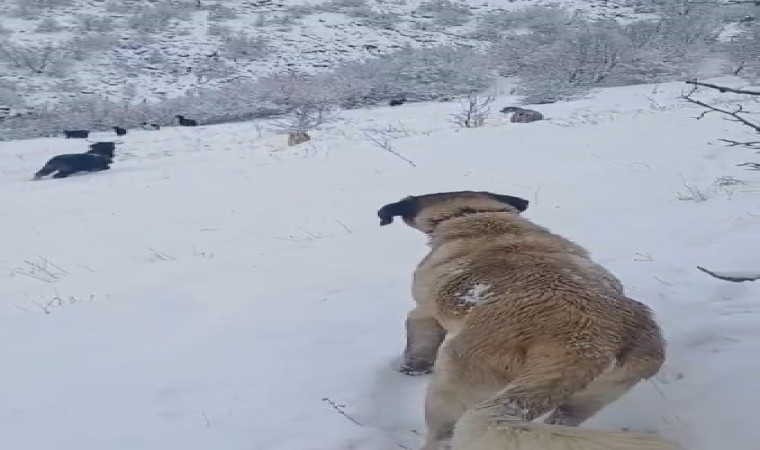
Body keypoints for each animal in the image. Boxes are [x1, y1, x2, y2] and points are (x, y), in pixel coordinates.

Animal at [378, 192, 672, 450]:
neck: (475, 214)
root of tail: (587, 348)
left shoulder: (423, 313)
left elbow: (418, 346)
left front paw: (410, 369)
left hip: (454, 388)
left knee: (442, 436)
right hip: (587, 400)